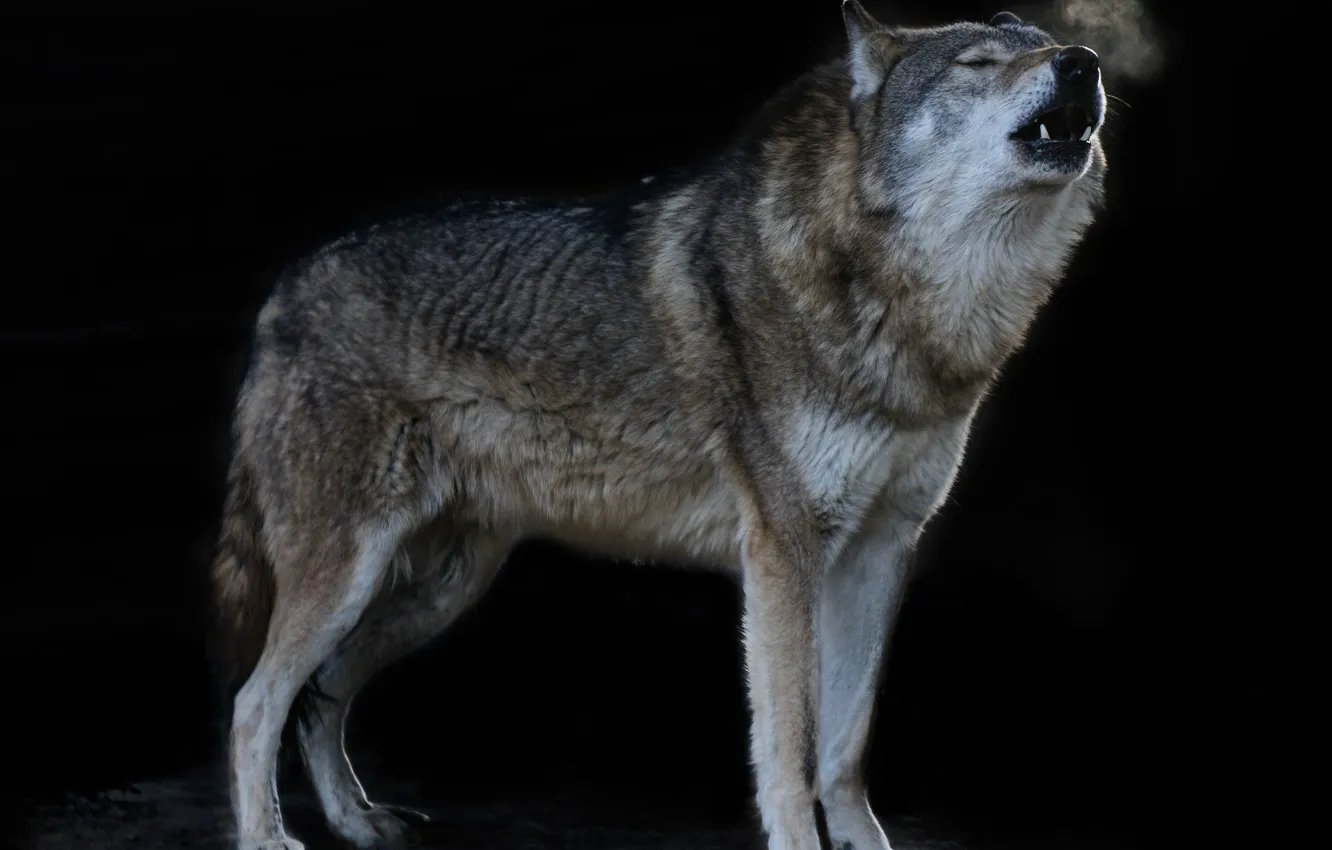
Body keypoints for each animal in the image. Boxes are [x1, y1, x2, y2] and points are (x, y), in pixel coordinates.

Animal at [208, 2, 1107, 848]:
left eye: (1041, 43)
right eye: (979, 64)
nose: (1083, 61)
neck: (914, 314)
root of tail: (286, 286)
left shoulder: (881, 549)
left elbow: (845, 747)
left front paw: (866, 842)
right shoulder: (785, 553)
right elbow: (790, 749)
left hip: (440, 590)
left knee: (321, 695)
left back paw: (357, 822)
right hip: (349, 575)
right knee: (255, 700)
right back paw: (268, 835)